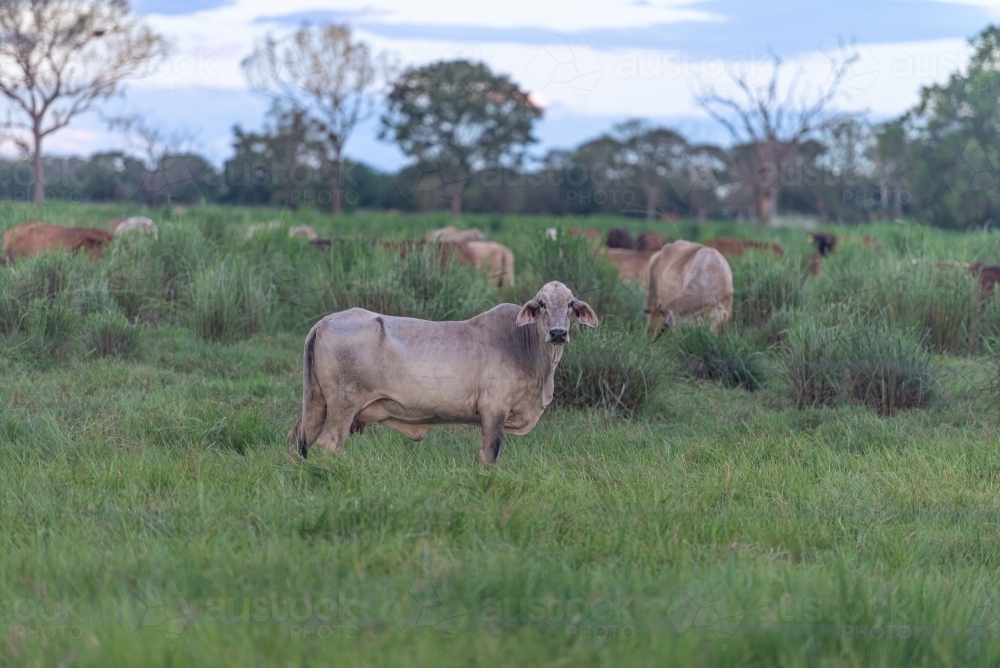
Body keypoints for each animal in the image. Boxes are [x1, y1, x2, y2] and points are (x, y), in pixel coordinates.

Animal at [286, 281, 598, 465]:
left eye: (570, 304)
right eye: (542, 304)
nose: (558, 333)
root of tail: (325, 321)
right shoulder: (494, 409)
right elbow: (490, 455)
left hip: (316, 403)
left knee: (297, 439)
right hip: (343, 405)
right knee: (327, 445)